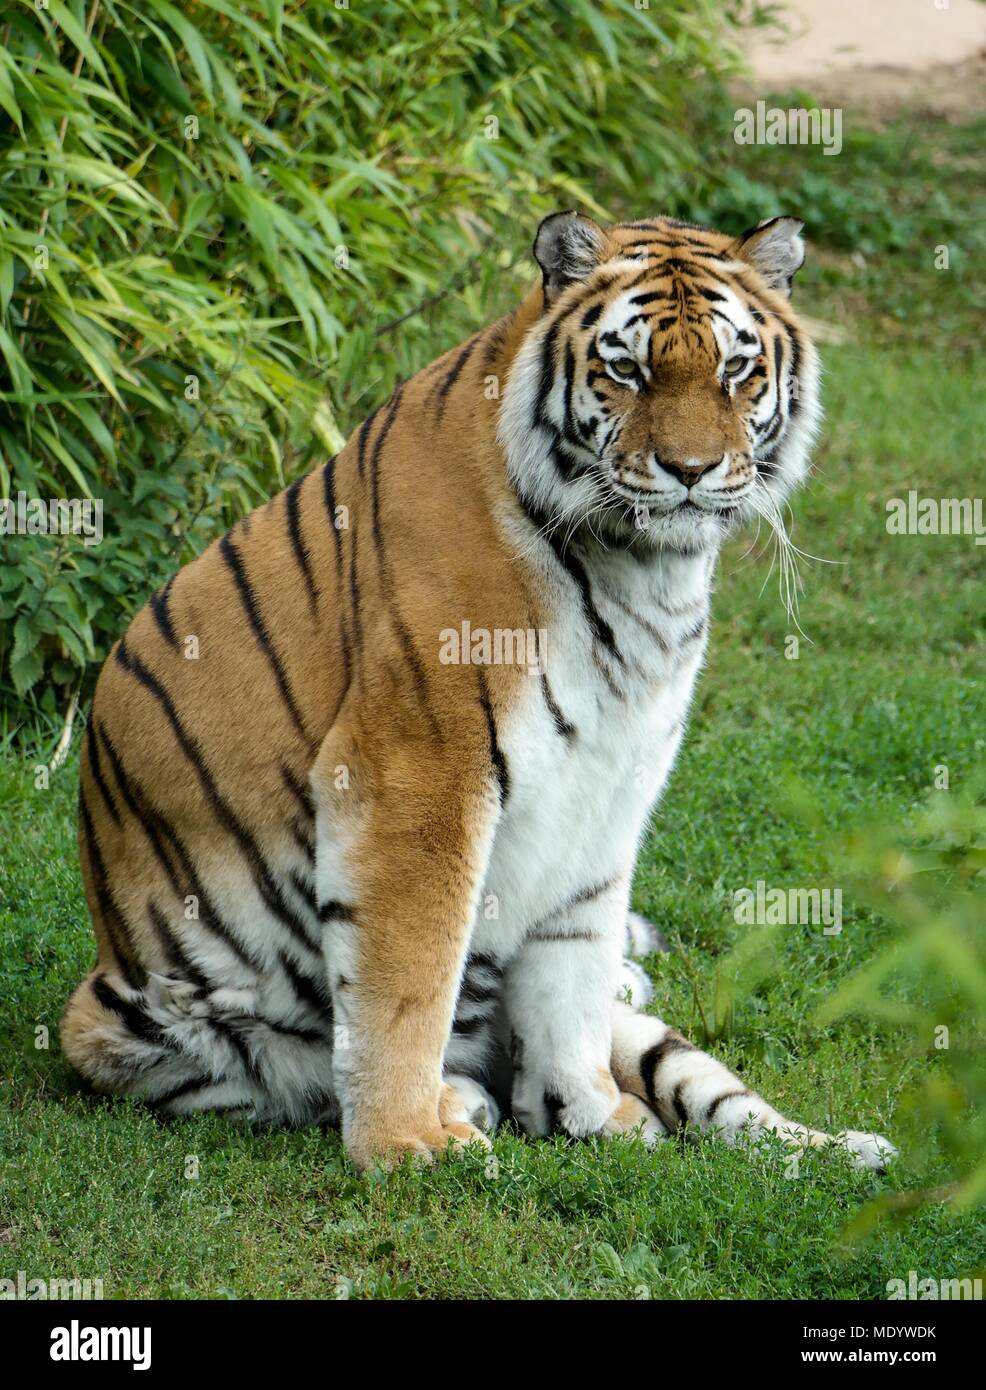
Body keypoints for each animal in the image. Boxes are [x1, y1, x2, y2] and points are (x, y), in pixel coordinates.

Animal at [62, 209, 895, 1174]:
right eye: (627, 369)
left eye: (736, 369)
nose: (691, 469)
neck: (644, 575)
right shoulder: (416, 769)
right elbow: (407, 973)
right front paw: (405, 1144)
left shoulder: (611, 783)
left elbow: (574, 960)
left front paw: (589, 1112)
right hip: (135, 1031)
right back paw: (462, 1100)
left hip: (654, 1042)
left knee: (724, 1100)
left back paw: (848, 1151)